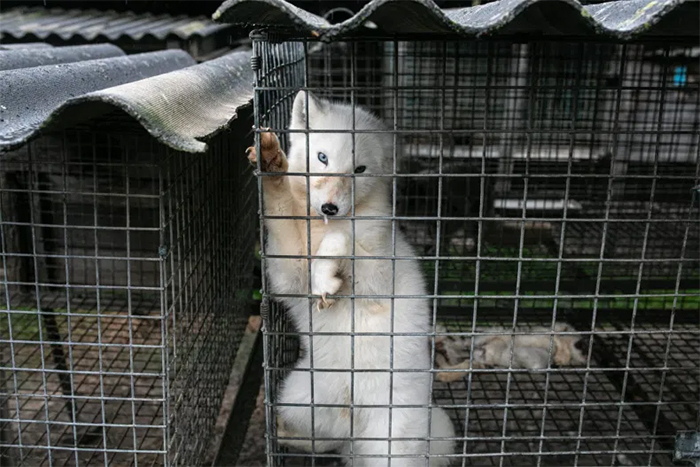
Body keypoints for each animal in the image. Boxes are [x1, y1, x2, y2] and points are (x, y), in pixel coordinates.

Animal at [245, 92, 454, 467]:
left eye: (360, 170)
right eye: (322, 157)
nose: (330, 208)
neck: (317, 228)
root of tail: (356, 428)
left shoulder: (377, 274)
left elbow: (342, 241)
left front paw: (326, 277)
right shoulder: (287, 271)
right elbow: (280, 205)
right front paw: (271, 161)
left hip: (398, 440)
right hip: (299, 394)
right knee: (324, 439)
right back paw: (280, 431)